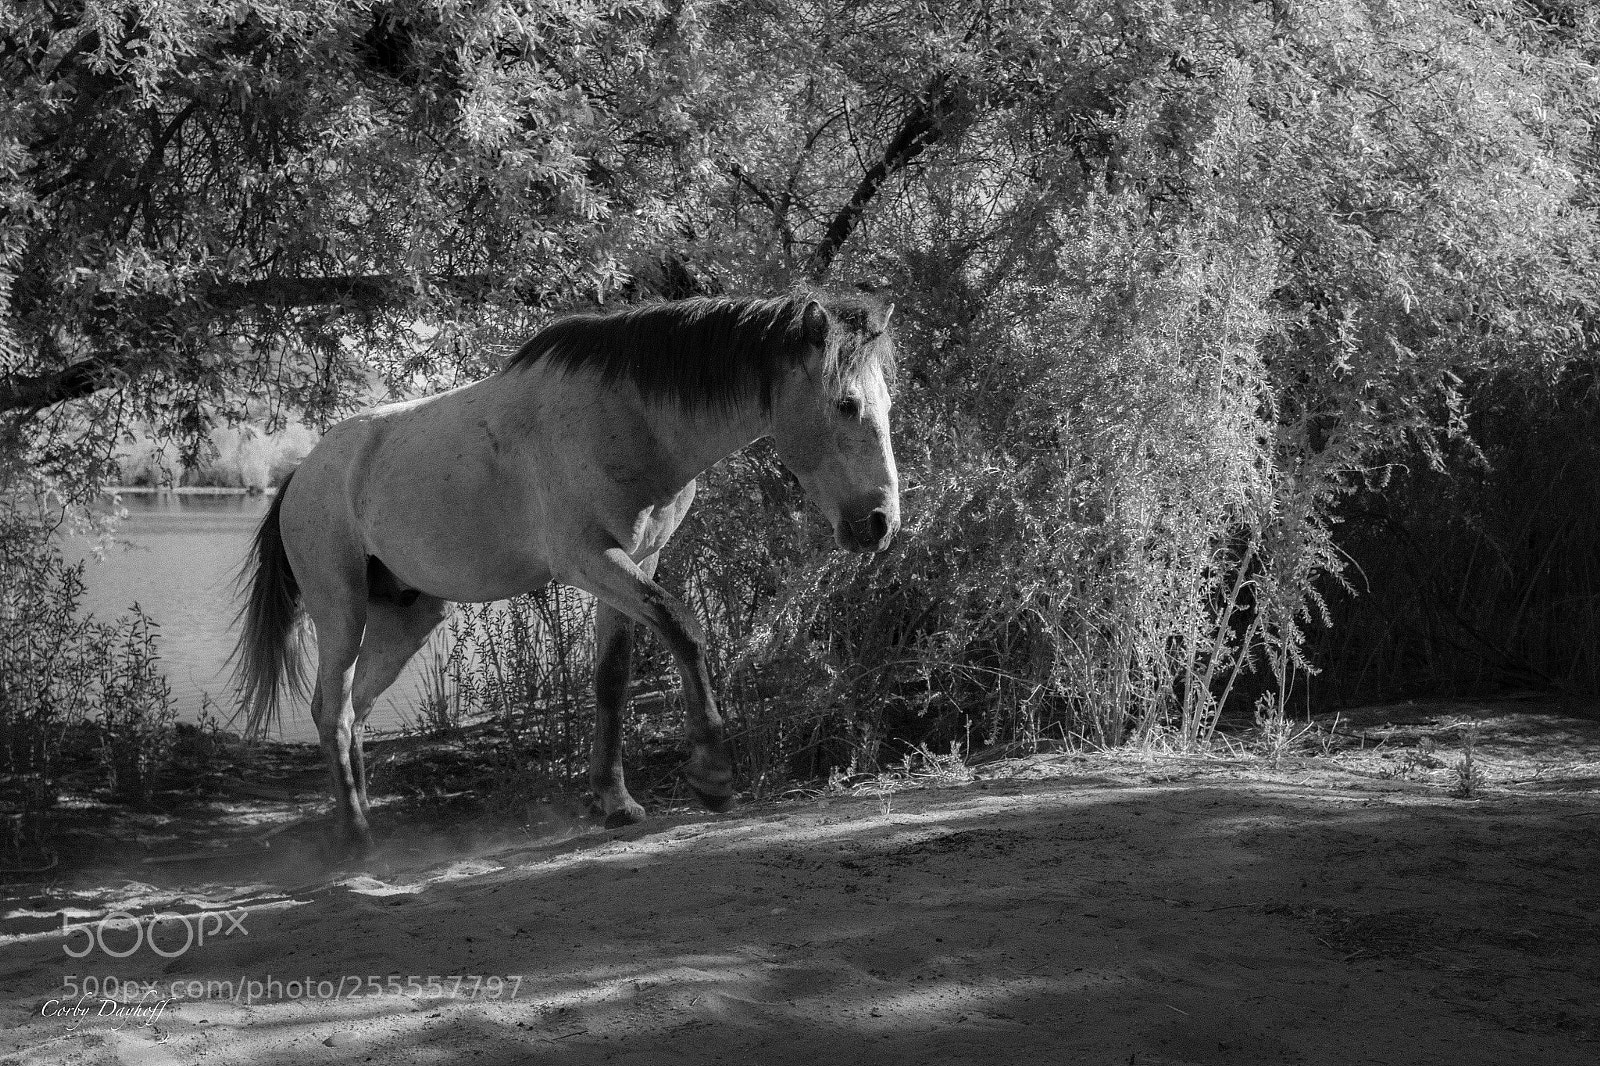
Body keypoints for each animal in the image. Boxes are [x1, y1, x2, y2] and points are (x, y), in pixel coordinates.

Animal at [231, 293, 899, 853]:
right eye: (846, 404)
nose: (880, 522)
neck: (630, 418)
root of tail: (302, 471)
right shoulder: (588, 562)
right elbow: (684, 628)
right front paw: (713, 775)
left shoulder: (635, 564)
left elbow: (612, 679)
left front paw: (616, 801)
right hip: (340, 609)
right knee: (333, 710)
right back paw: (354, 834)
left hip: (407, 619)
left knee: (358, 708)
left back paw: (363, 814)